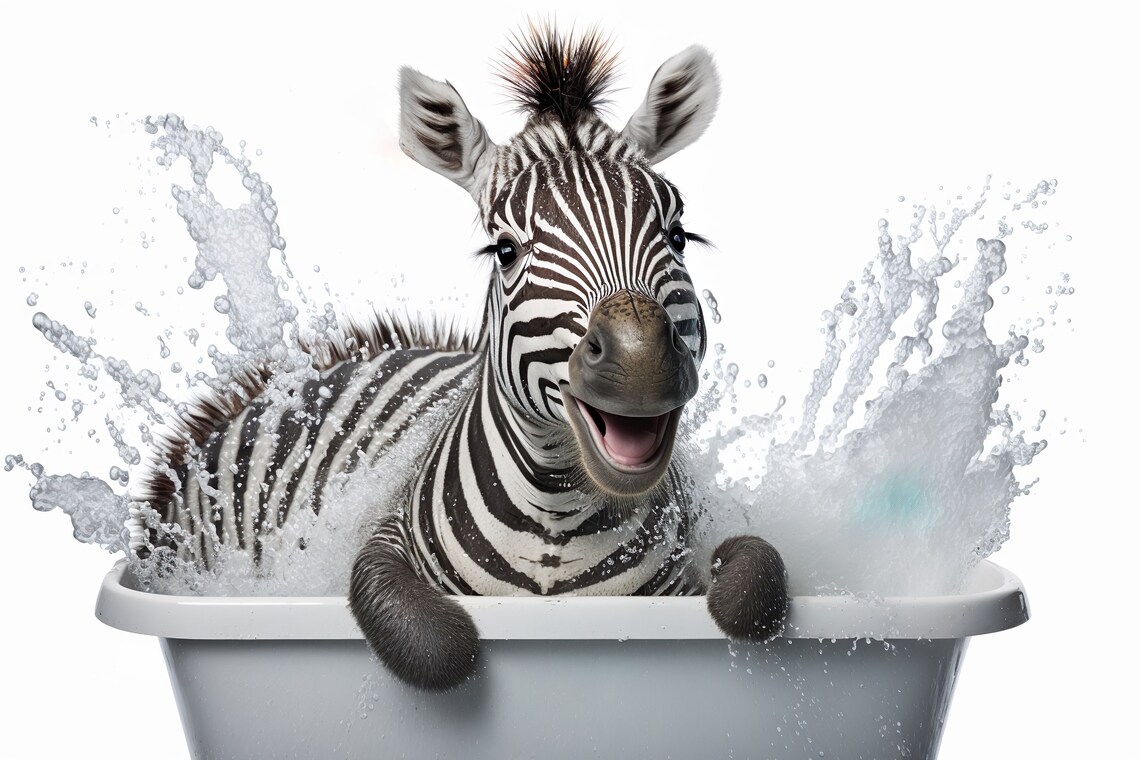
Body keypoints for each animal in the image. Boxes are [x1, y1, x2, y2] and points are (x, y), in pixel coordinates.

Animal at [136, 24, 788, 692]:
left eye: (678, 235)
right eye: (505, 250)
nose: (638, 364)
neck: (558, 521)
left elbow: (755, 584)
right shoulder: (385, 540)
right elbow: (435, 644)